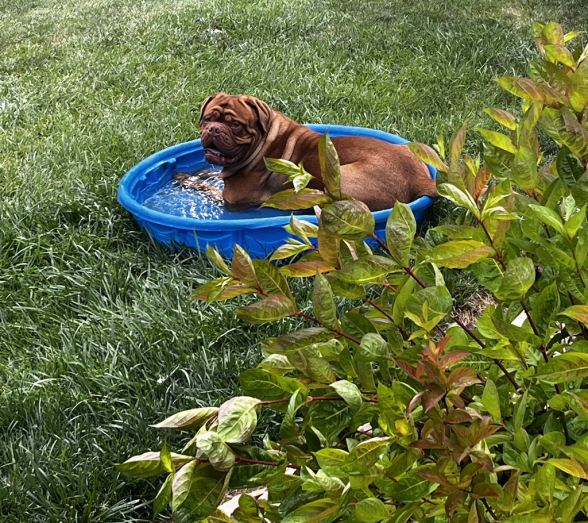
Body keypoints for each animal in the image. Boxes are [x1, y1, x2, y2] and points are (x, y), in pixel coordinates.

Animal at [172, 94, 438, 211]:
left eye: (235, 124)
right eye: (208, 119)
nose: (214, 129)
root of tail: (417, 179)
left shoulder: (233, 199)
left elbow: (207, 189)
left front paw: (185, 178)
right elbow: (209, 174)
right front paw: (196, 172)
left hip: (338, 182)